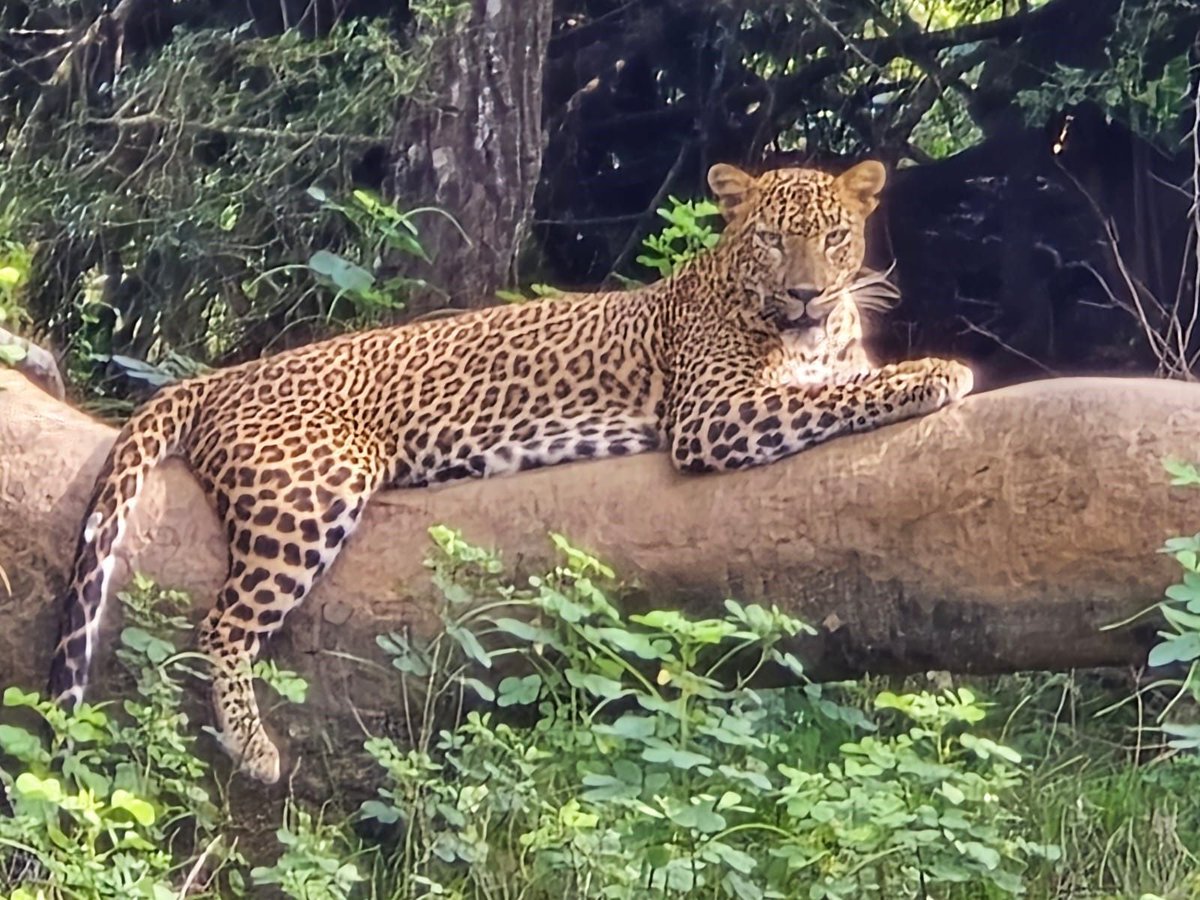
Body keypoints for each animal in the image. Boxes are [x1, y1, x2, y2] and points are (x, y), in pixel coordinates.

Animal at [46, 160, 973, 784]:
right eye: (773, 239)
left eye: (835, 237)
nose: (810, 294)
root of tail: (223, 376)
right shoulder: (714, 414)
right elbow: (834, 395)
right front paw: (938, 372)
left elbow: (840, 382)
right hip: (312, 488)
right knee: (221, 624)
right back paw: (254, 748)